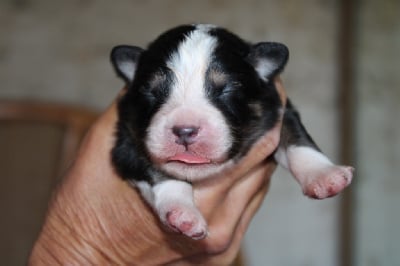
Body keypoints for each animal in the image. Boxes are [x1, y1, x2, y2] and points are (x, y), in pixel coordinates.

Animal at [109, 23, 354, 240]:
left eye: (225, 89)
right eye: (152, 92)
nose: (185, 130)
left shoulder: (277, 107)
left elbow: (296, 136)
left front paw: (324, 176)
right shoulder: (126, 140)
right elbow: (159, 172)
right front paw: (182, 214)